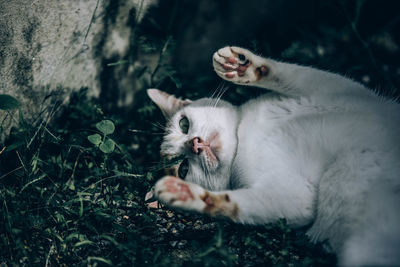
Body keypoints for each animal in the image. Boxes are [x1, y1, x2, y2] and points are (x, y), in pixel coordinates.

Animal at [148, 46, 400, 267]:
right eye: (183, 169)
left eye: (183, 124)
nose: (195, 144)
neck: (245, 134)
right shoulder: (295, 196)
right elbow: (236, 204)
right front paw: (186, 194)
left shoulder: (342, 91)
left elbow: (294, 73)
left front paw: (240, 66)